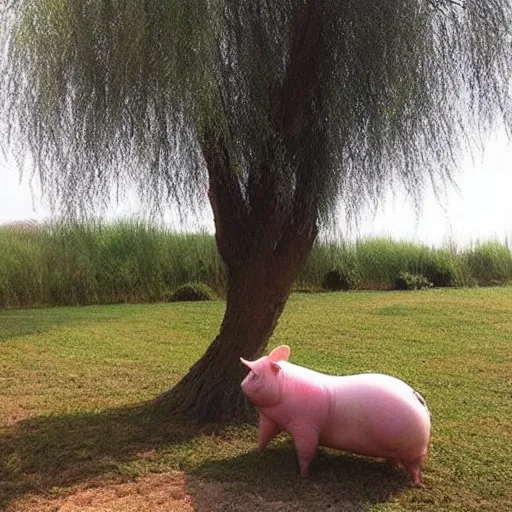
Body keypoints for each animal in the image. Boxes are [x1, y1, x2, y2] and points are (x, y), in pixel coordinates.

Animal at [241, 344, 432, 484]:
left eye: (254, 375)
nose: (242, 385)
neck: (284, 389)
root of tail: (416, 396)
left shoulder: (306, 427)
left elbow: (306, 451)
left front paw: (304, 475)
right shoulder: (271, 420)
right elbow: (264, 436)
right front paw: (257, 452)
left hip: (415, 451)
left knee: (415, 468)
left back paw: (417, 484)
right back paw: (389, 468)